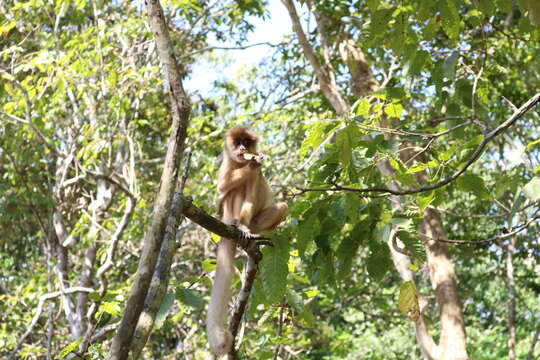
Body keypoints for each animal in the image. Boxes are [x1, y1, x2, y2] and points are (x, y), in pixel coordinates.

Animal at [207, 125, 288, 356]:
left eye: (246, 142)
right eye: (238, 142)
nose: (244, 149)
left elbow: (254, 183)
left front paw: (255, 162)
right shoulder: (227, 161)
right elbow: (222, 187)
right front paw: (253, 162)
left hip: (258, 221)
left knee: (280, 205)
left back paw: (246, 228)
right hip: (229, 213)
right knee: (232, 192)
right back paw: (236, 224)